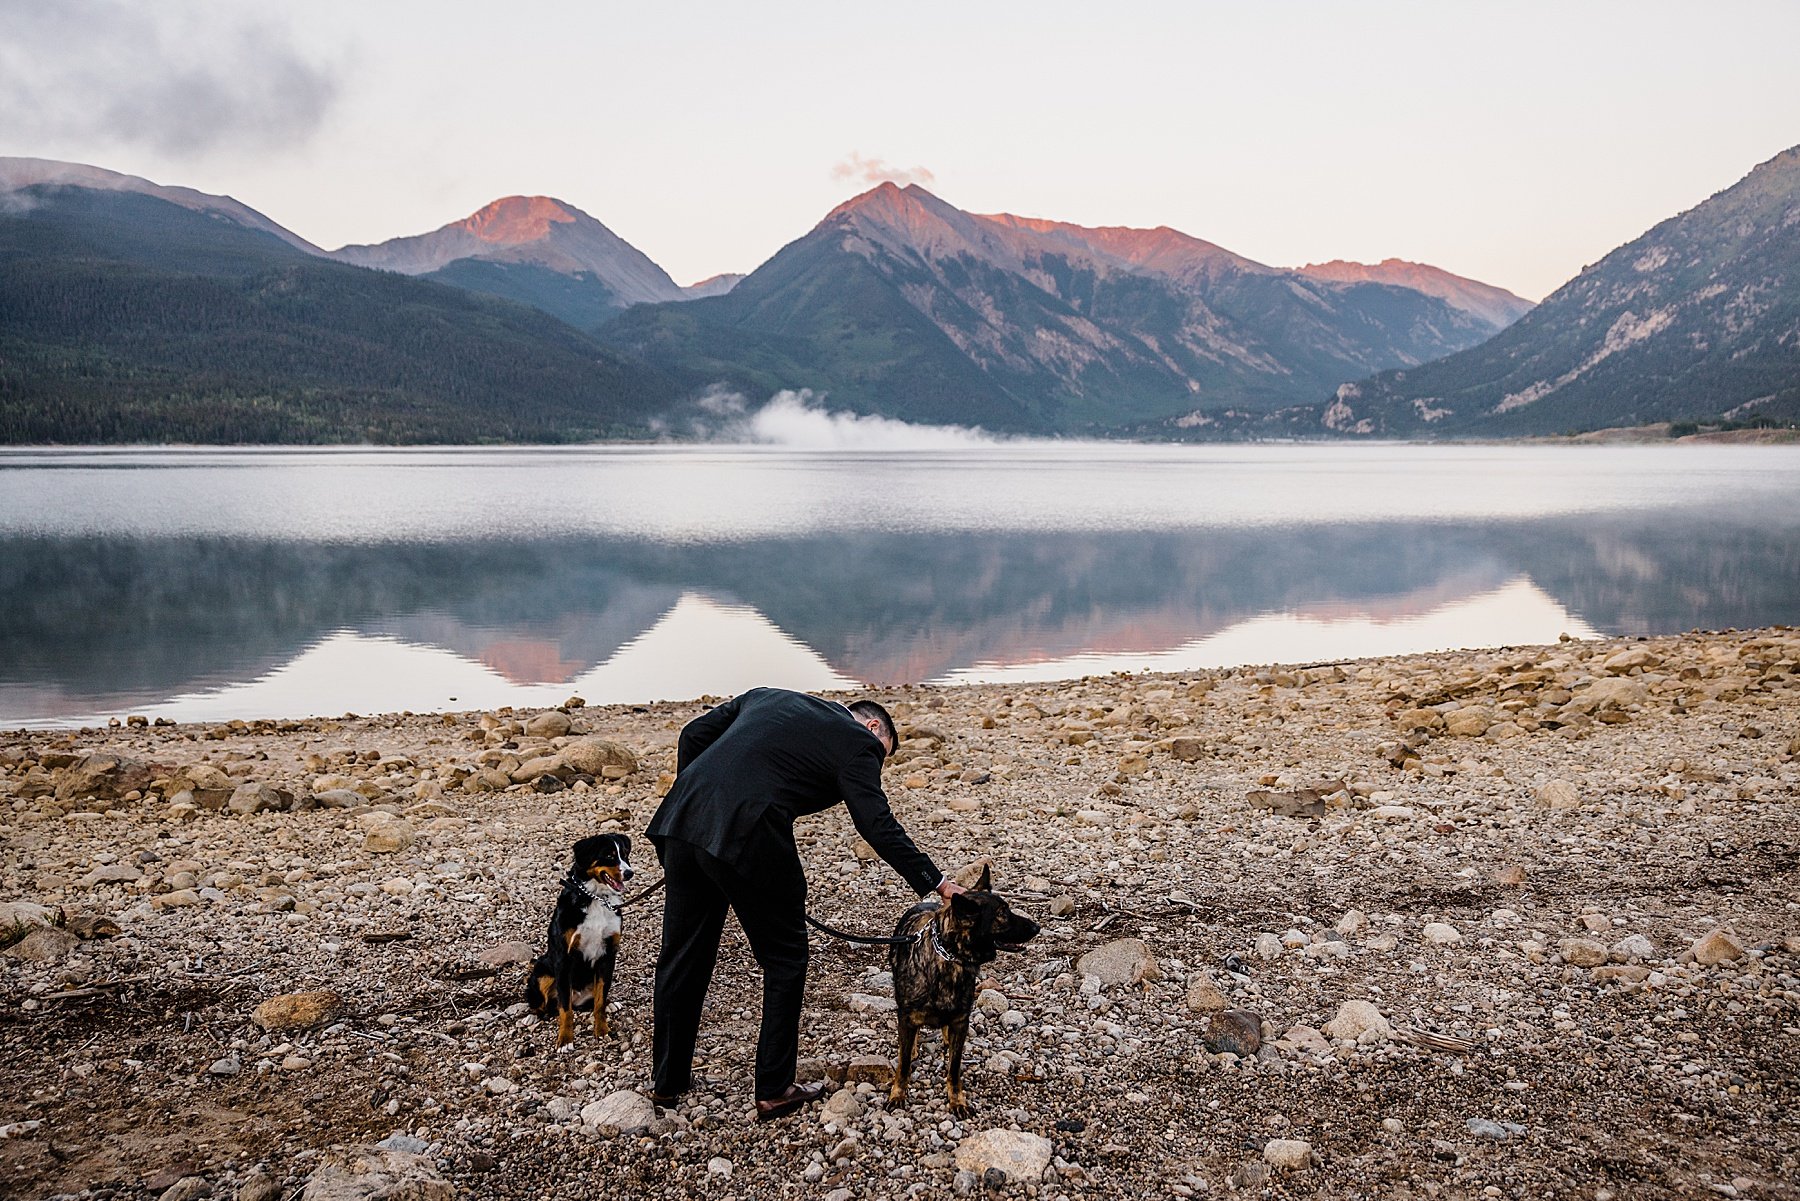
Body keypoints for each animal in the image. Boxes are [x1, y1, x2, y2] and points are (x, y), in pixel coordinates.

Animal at [525, 835, 630, 1044]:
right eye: (609, 855)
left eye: (624, 854)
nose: (630, 873)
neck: (596, 898)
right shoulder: (564, 957)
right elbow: (565, 1008)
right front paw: (565, 1039)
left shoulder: (608, 955)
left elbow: (599, 1001)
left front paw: (602, 1030)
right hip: (542, 970)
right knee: (543, 1003)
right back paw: (532, 1016)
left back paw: (611, 1003)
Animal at [885, 864, 1044, 1116]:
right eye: (1002, 913)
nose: (1037, 927)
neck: (949, 957)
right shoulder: (908, 1017)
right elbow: (903, 1066)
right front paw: (898, 1094)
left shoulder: (961, 1021)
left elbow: (954, 1068)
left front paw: (957, 1100)